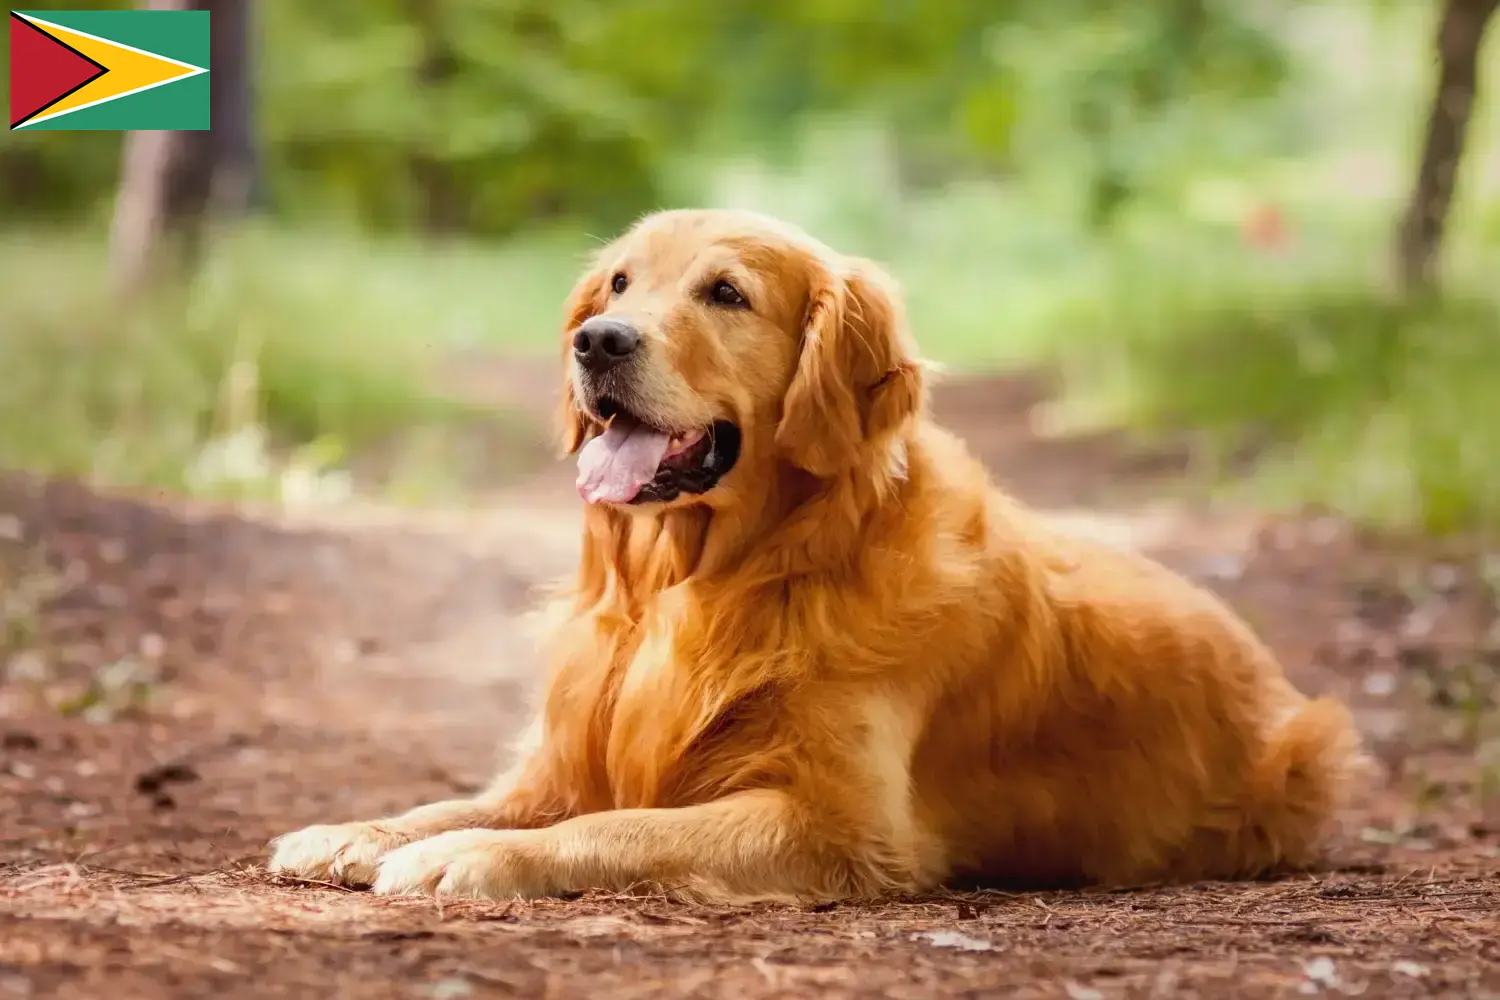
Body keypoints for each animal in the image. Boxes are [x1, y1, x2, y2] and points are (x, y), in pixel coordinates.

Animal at [267, 206, 1362, 905]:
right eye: (619, 281)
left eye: (726, 293)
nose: (597, 340)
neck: (707, 581)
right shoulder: (567, 754)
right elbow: (458, 800)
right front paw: (356, 831)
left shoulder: (841, 823)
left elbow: (618, 826)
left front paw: (474, 858)